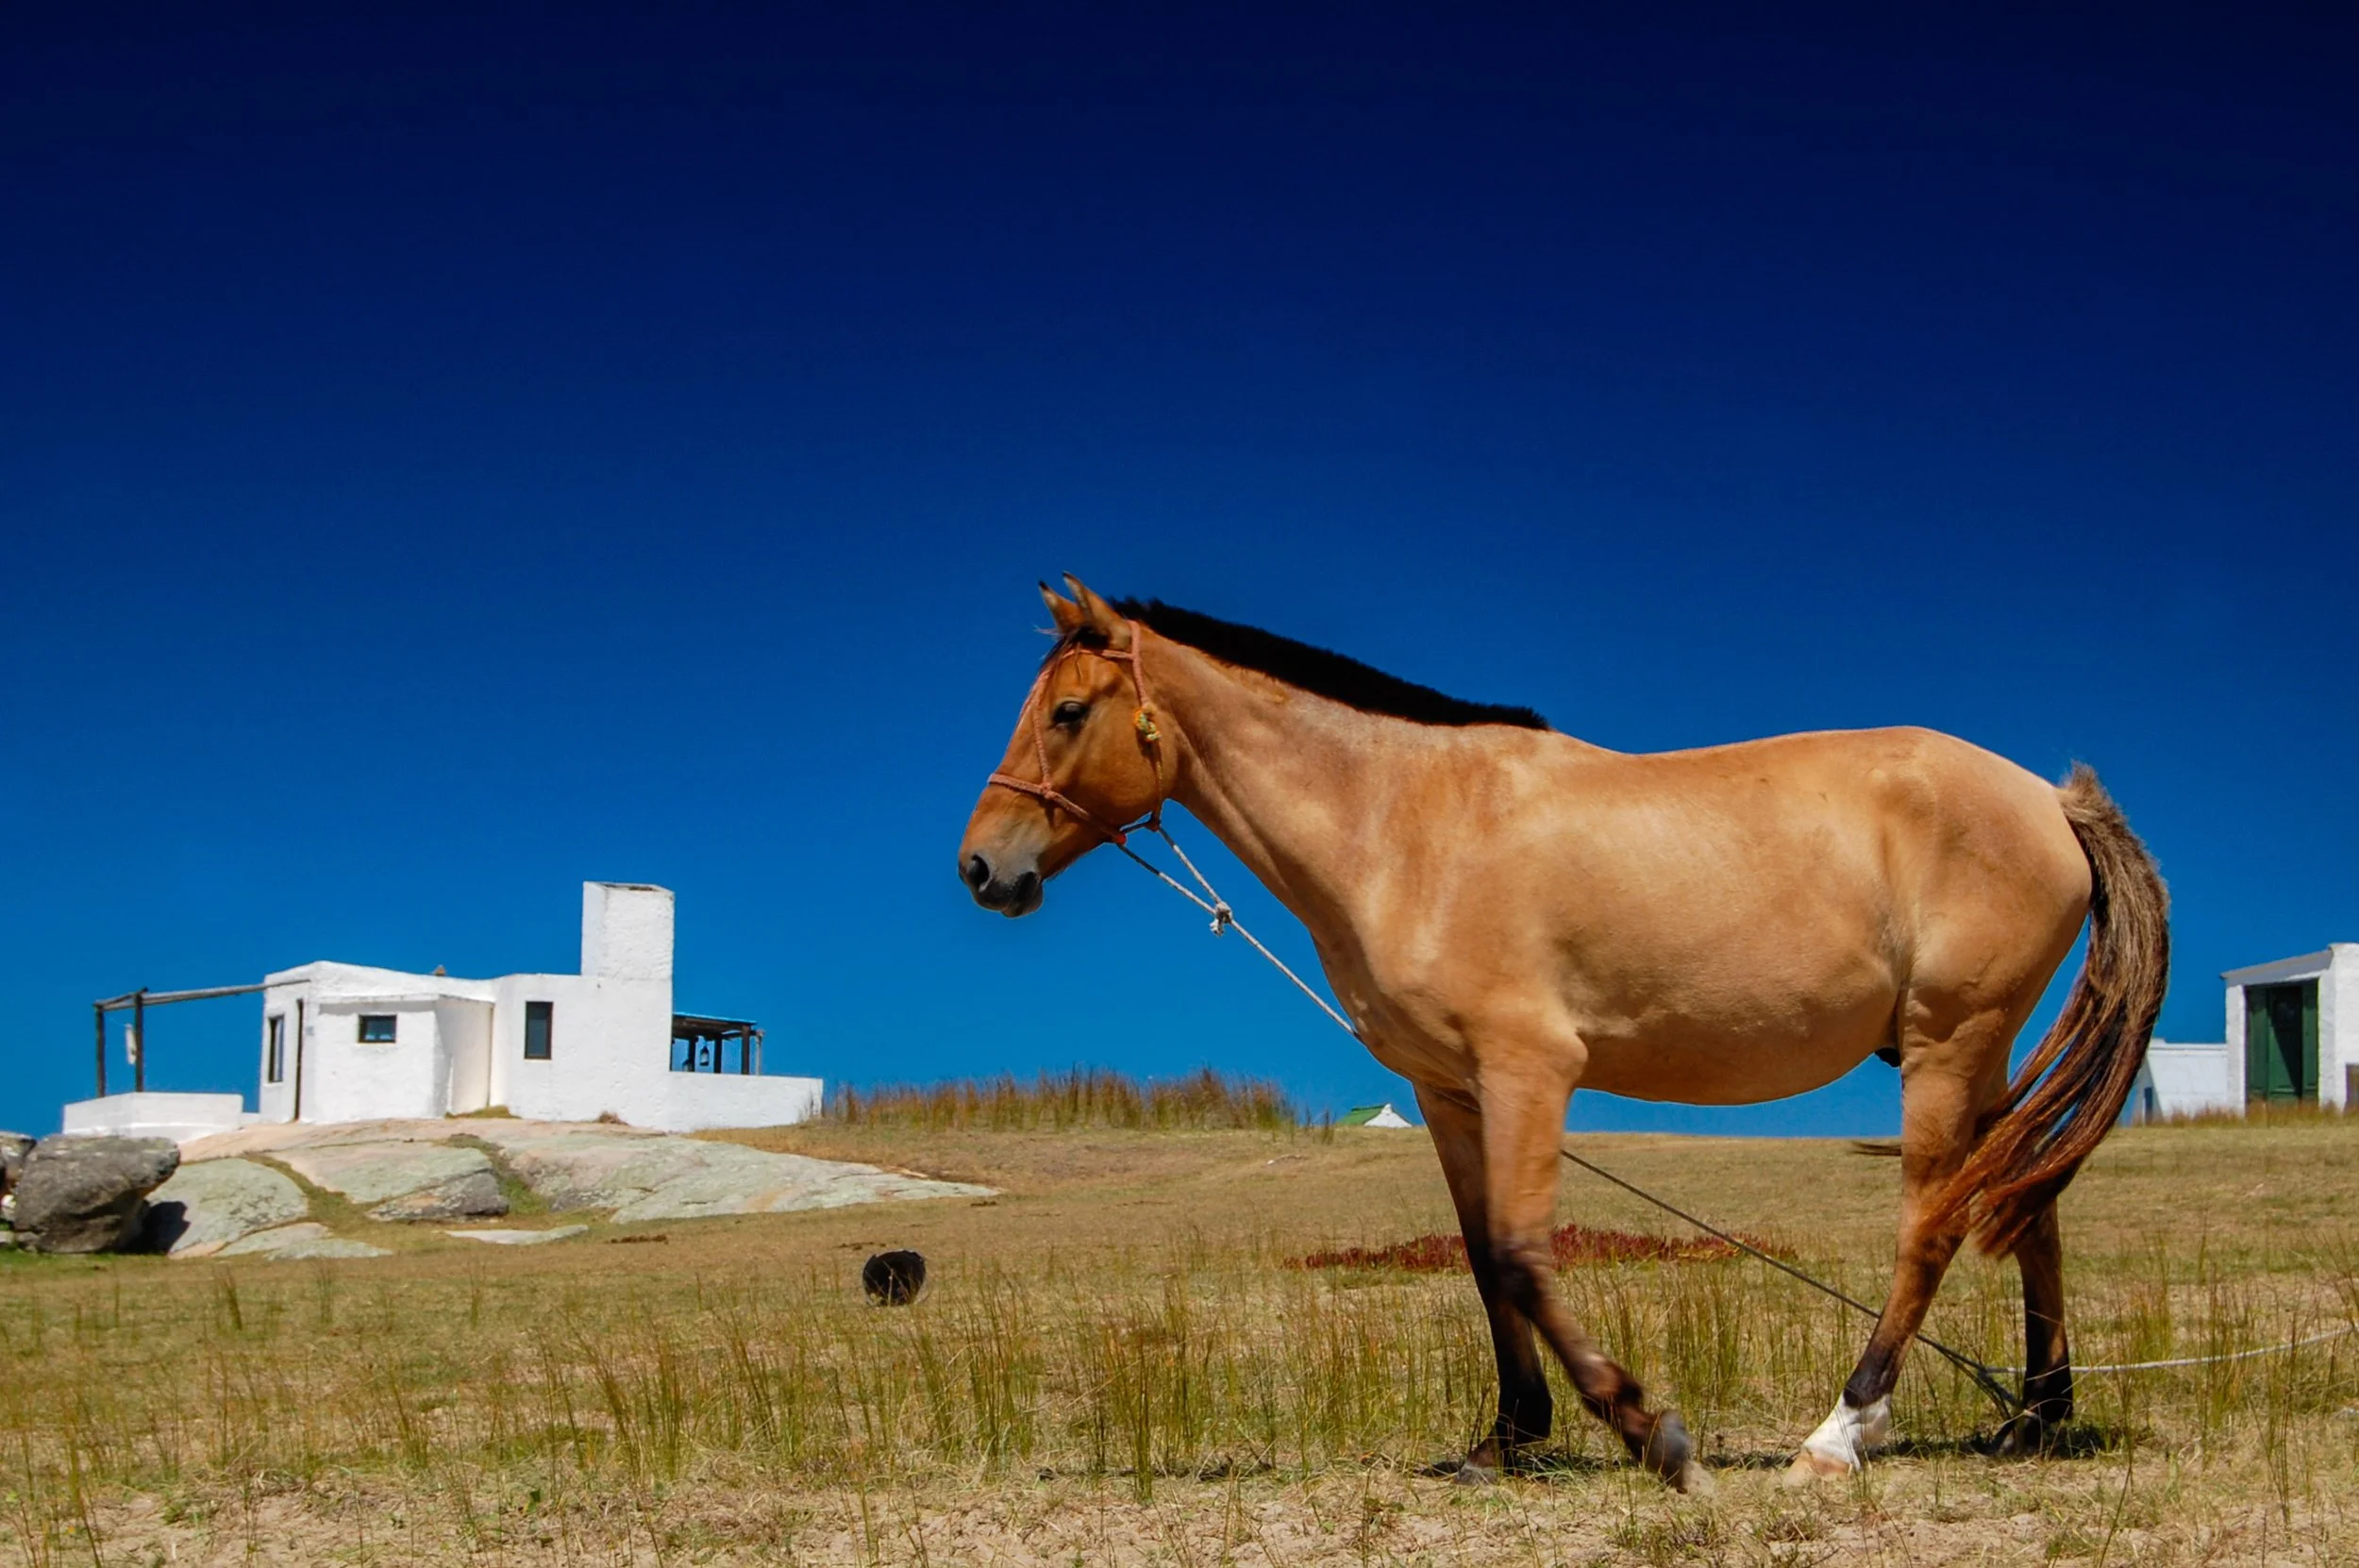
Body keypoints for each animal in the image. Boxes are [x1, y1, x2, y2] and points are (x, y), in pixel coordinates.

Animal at [957, 576, 2167, 1490]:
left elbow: (1523, 1253)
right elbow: (1483, 1262)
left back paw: (1841, 1430)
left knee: (1931, 1223)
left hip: (1944, 1046)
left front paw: (1646, 1430)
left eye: (1068, 713)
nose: (982, 867)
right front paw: (1507, 1440)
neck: (1408, 824)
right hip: (1982, 1057)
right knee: (2028, 1208)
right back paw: (2032, 1420)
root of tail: (2050, 800)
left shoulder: (1530, 1070)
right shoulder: (1450, 1092)